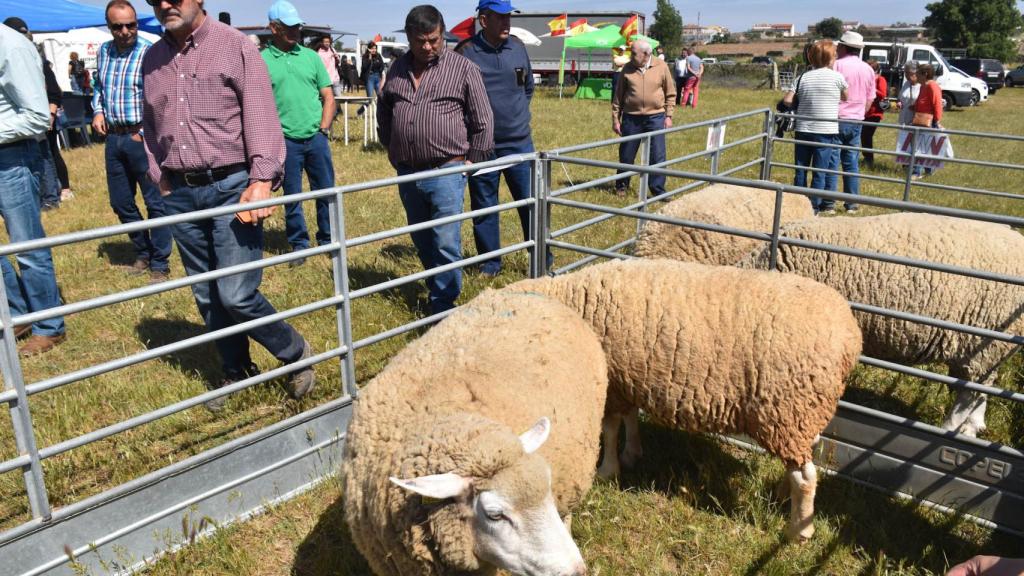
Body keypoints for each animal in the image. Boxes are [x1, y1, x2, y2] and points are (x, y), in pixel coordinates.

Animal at [512, 258, 864, 541]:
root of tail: (850, 337)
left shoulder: (612, 384)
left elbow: (610, 430)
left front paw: (608, 469)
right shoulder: (630, 379)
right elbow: (630, 419)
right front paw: (632, 453)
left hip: (787, 408)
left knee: (805, 477)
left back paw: (798, 531)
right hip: (803, 411)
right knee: (805, 455)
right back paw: (781, 496)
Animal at [745, 212, 1024, 434]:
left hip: (982, 341)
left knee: (968, 393)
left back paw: (951, 429)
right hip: (984, 349)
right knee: (980, 388)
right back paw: (973, 427)